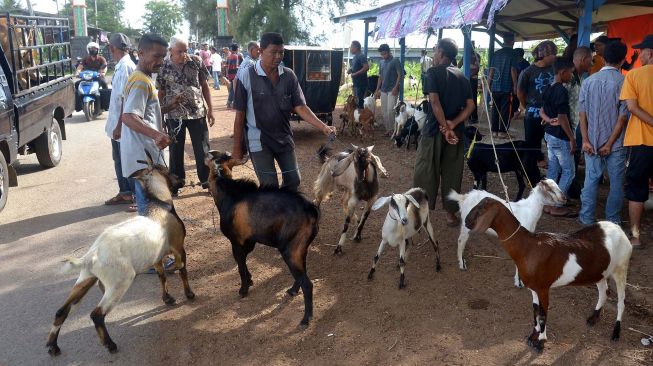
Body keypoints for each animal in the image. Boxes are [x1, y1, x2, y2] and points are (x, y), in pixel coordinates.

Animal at [45, 150, 194, 356]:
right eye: (166, 170)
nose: (181, 180)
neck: (160, 206)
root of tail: (90, 257)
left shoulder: (156, 257)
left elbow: (162, 276)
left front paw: (168, 298)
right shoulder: (179, 247)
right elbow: (182, 270)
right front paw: (189, 294)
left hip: (86, 278)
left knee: (62, 310)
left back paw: (53, 346)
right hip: (119, 282)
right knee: (96, 314)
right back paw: (110, 344)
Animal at [202, 150, 318, 328]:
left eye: (212, 155)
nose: (205, 153)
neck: (229, 194)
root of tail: (310, 210)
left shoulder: (235, 241)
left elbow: (240, 266)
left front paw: (243, 290)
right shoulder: (249, 241)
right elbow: (243, 262)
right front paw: (250, 280)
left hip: (290, 250)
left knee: (307, 283)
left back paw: (306, 319)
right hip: (300, 249)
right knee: (302, 274)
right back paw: (292, 291)